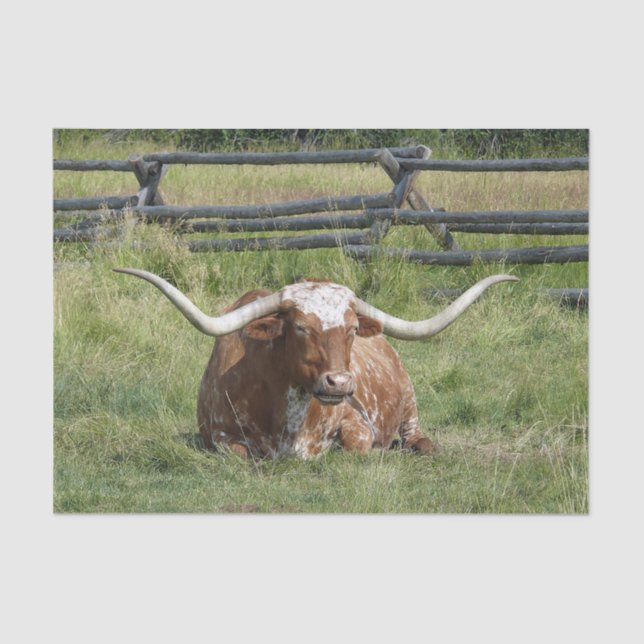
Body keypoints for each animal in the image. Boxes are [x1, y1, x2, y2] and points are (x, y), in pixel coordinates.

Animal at [114, 268, 518, 459]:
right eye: (301, 327)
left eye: (352, 328)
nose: (340, 383)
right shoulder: (218, 437)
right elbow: (240, 454)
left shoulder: (357, 421)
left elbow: (357, 445)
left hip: (410, 404)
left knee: (417, 437)